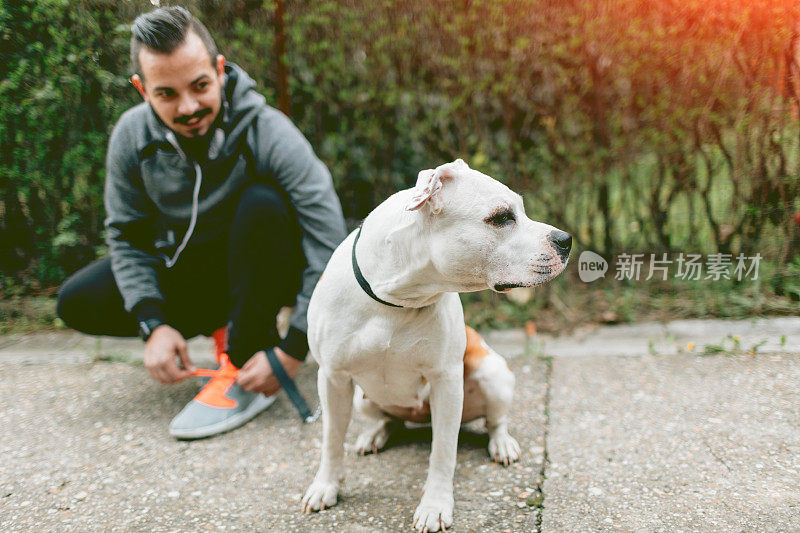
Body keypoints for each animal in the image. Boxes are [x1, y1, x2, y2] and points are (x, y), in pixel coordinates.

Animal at [300, 160, 568, 528]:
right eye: (501, 217)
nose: (566, 240)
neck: (397, 297)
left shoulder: (446, 381)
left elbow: (443, 450)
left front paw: (435, 505)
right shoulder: (332, 378)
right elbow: (331, 439)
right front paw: (326, 486)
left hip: (493, 373)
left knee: (495, 421)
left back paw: (502, 445)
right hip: (360, 399)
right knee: (386, 419)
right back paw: (373, 435)